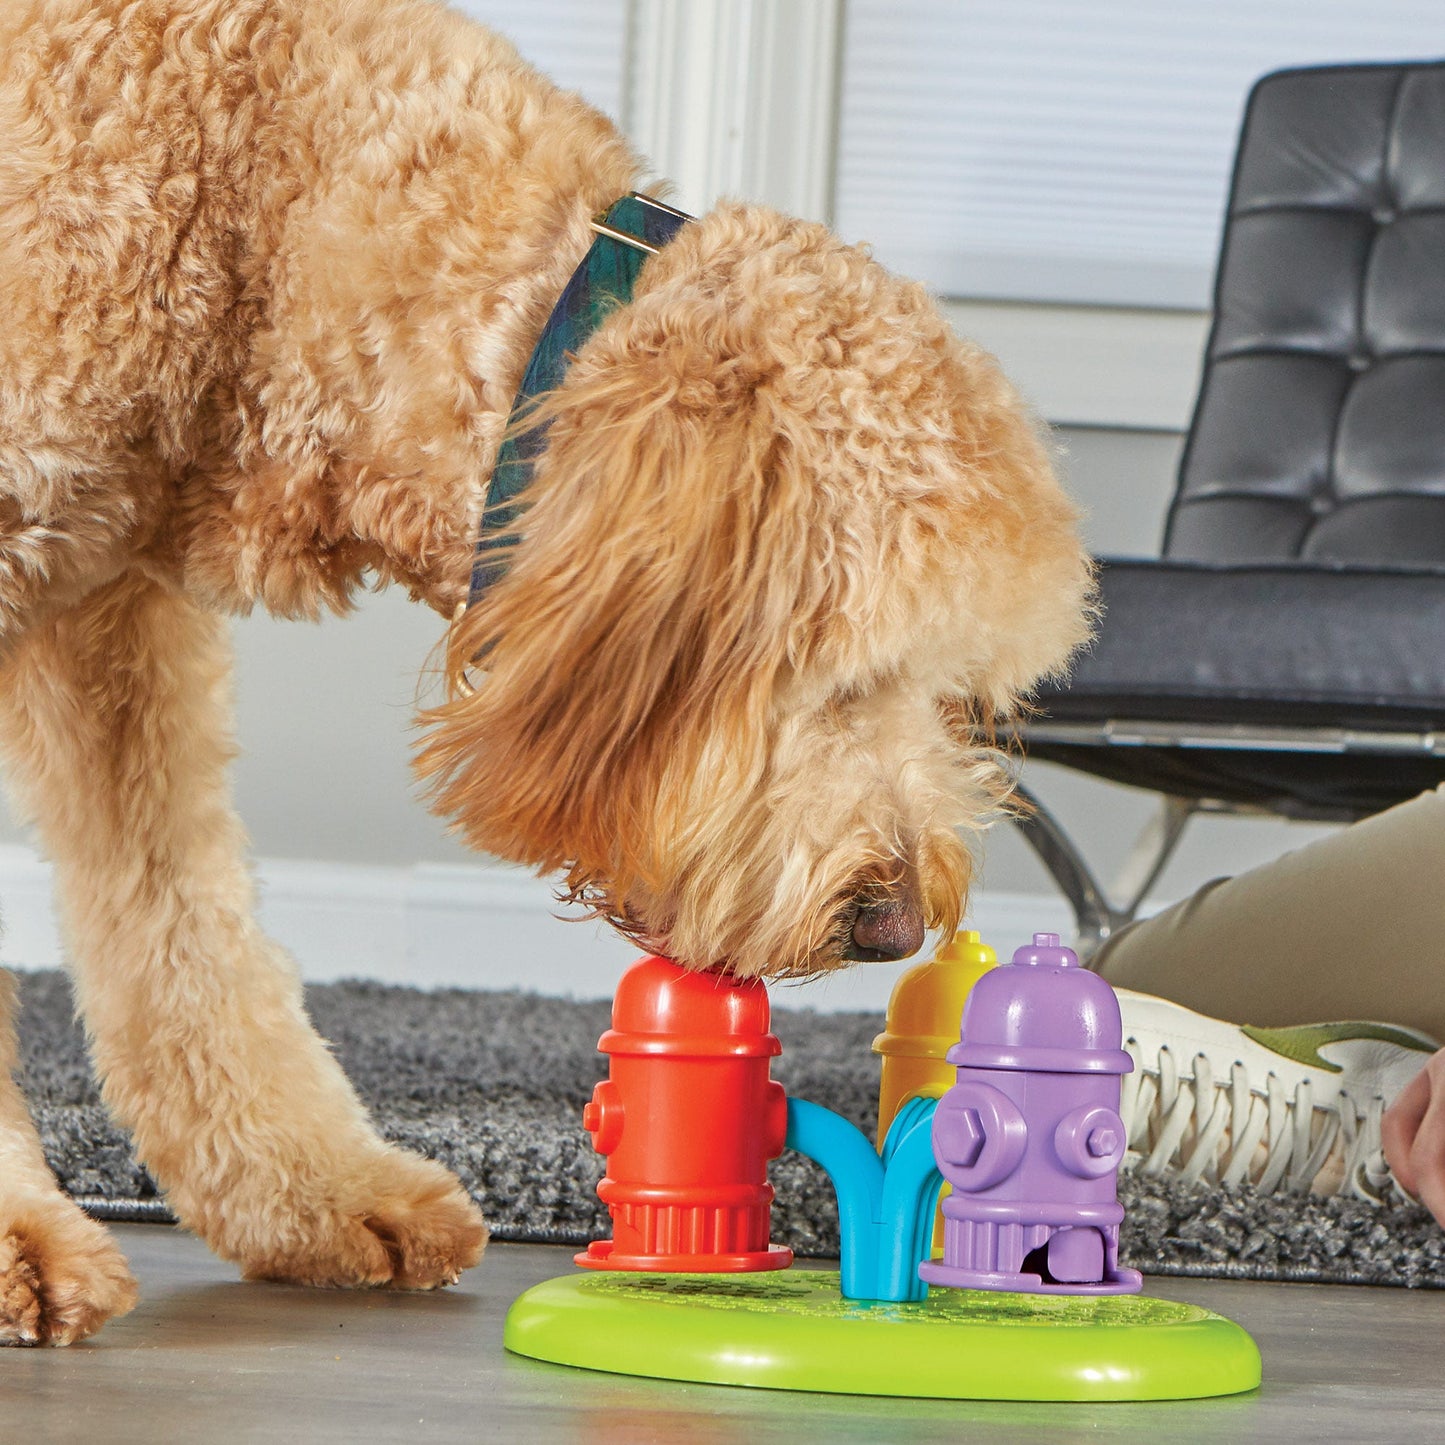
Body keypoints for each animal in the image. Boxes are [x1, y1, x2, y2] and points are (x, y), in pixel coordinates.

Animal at [0, 0, 1086, 1340]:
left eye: (951, 688)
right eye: (845, 676)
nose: (892, 925)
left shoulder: (113, 619)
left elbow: (178, 915)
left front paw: (309, 1190)